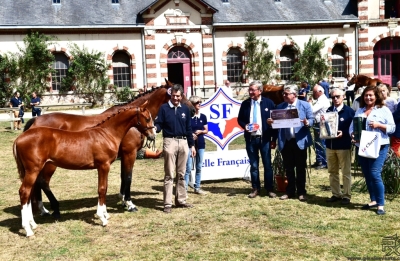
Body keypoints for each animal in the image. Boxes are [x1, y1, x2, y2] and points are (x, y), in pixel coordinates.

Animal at [13, 101, 155, 236]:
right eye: (147, 118)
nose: (153, 136)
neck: (106, 133)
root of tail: (18, 139)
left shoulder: (104, 166)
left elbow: (105, 188)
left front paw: (106, 214)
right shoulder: (104, 165)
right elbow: (102, 189)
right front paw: (102, 218)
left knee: (30, 192)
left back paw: (33, 223)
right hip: (34, 170)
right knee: (25, 191)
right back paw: (28, 229)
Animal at [23, 80, 195, 216]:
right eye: (178, 95)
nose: (193, 110)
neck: (129, 124)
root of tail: (35, 121)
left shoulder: (122, 156)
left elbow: (123, 176)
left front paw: (122, 199)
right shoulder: (130, 153)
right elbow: (128, 177)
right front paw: (129, 204)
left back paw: (42, 210)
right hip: (49, 165)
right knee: (42, 182)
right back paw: (49, 209)